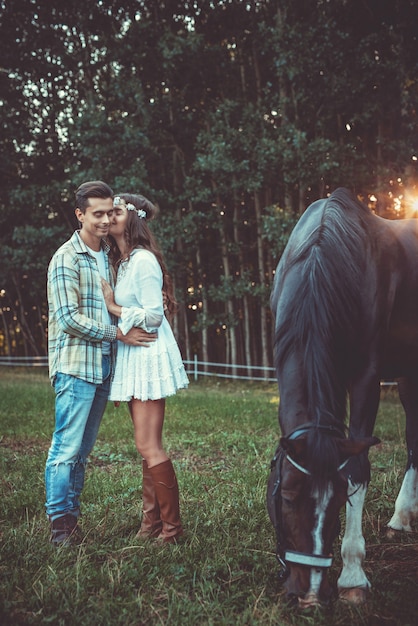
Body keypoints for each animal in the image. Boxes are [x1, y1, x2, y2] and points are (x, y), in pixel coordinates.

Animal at [266, 185, 418, 604]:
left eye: (337, 501)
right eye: (287, 495)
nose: (310, 594)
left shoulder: (367, 378)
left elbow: (357, 468)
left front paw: (352, 575)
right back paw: (402, 517)